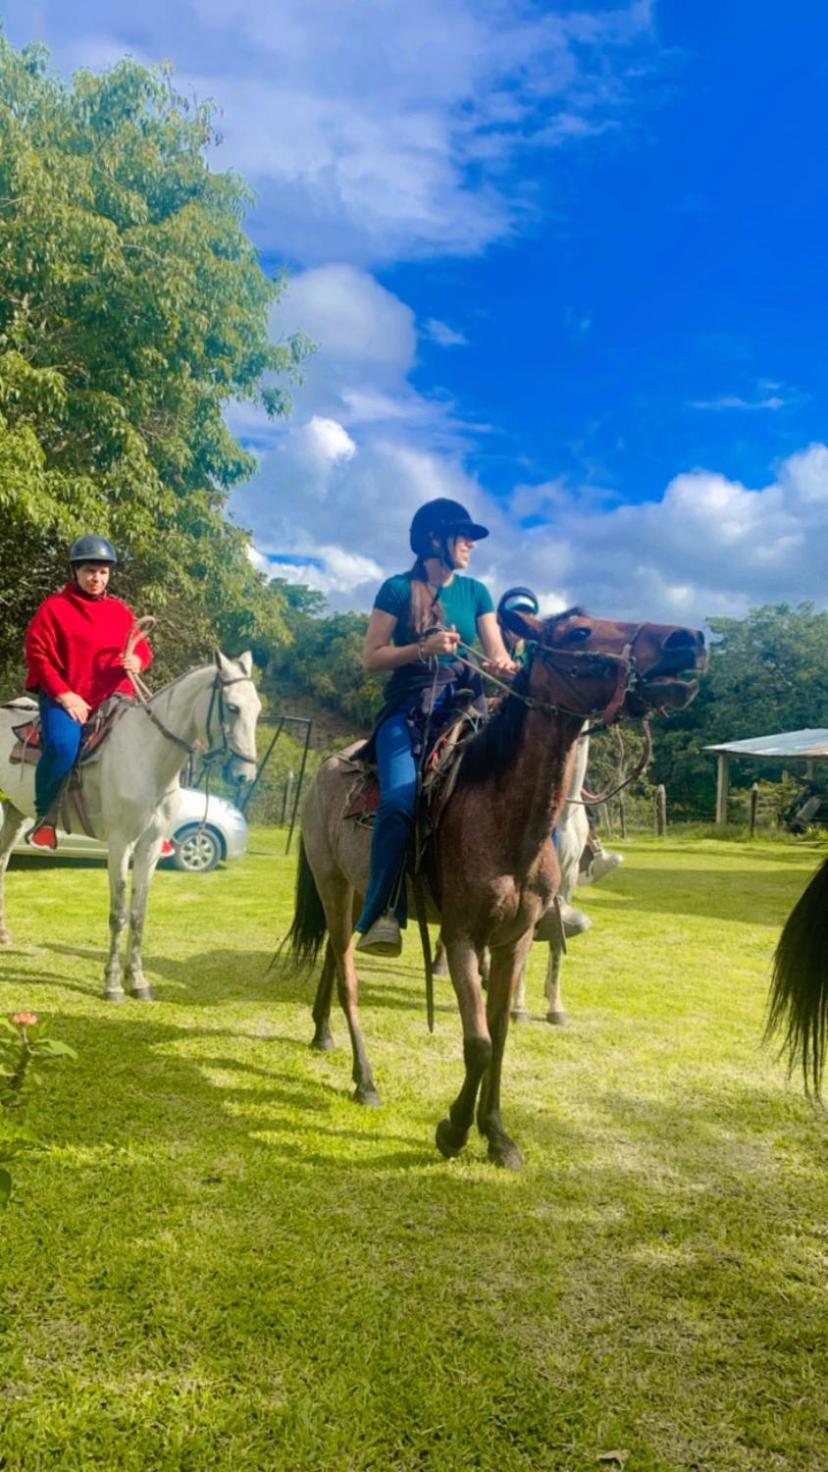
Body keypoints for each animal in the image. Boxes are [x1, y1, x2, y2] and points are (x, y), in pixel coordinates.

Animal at [0, 653, 257, 1000]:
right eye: (232, 707)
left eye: (257, 709)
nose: (245, 775)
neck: (147, 755)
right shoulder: (120, 843)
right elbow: (119, 912)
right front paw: (112, 983)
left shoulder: (151, 845)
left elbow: (138, 912)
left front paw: (137, 980)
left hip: (14, 813)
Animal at [285, 603, 701, 1165]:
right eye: (580, 632)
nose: (689, 640)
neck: (504, 818)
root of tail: (324, 771)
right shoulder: (462, 936)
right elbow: (478, 1042)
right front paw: (454, 1130)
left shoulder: (516, 938)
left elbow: (500, 1034)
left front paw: (497, 1133)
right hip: (331, 879)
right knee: (348, 972)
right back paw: (365, 1079)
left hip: (353, 889)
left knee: (334, 952)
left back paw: (324, 1034)